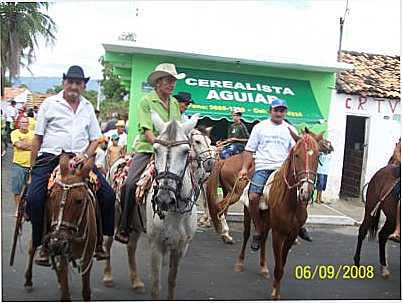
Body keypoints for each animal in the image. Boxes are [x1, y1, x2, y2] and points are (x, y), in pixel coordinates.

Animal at [24, 154, 98, 302]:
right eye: (52, 197)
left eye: (79, 201)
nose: (57, 243)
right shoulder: (62, 255)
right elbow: (65, 293)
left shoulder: (87, 257)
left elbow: (86, 291)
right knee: (32, 248)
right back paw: (29, 279)